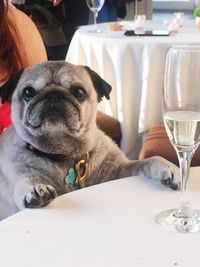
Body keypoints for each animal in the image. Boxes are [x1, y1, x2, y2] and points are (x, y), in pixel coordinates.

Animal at [0, 61, 179, 221]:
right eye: (28, 92)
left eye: (79, 92)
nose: (54, 94)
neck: (64, 154)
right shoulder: (22, 177)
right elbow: (26, 184)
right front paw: (35, 190)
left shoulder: (120, 171)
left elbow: (150, 160)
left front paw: (169, 168)